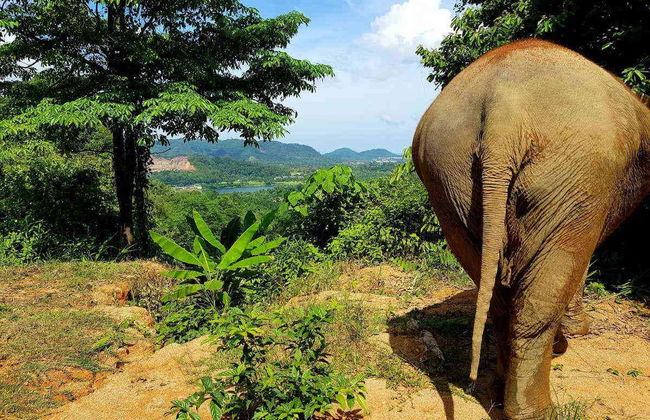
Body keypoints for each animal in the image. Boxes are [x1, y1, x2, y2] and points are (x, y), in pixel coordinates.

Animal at [412, 39, 650, 419]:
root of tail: (503, 114)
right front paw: (577, 332)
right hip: (578, 172)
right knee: (547, 284)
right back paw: (536, 411)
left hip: (446, 176)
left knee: (493, 291)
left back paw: (497, 392)